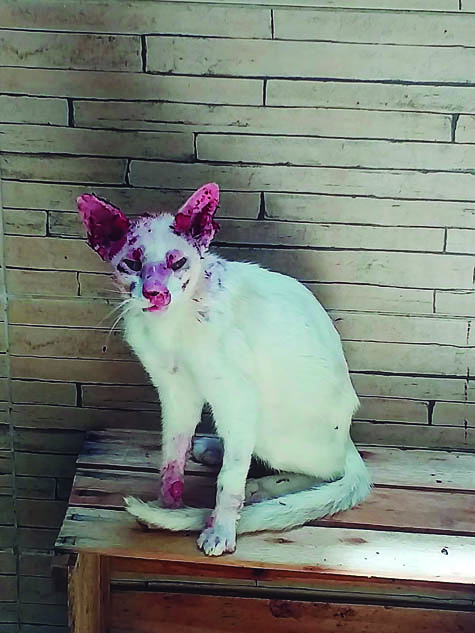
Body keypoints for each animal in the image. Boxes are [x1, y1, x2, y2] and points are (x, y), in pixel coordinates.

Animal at [77, 183, 371, 557]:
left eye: (177, 262)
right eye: (131, 263)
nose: (155, 293)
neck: (170, 328)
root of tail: (348, 439)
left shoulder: (236, 394)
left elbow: (229, 479)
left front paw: (220, 529)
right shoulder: (174, 390)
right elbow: (172, 455)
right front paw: (167, 507)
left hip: (272, 428)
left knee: (323, 470)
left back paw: (261, 487)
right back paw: (214, 449)